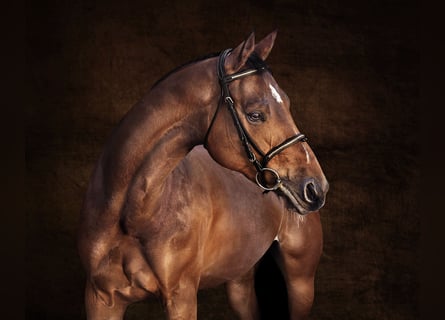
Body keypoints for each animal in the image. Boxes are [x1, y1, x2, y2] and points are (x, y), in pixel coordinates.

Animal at [78, 30, 326, 320]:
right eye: (255, 114)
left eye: (287, 103)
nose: (315, 187)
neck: (132, 214)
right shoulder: (101, 300)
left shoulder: (181, 298)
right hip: (240, 281)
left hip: (301, 282)